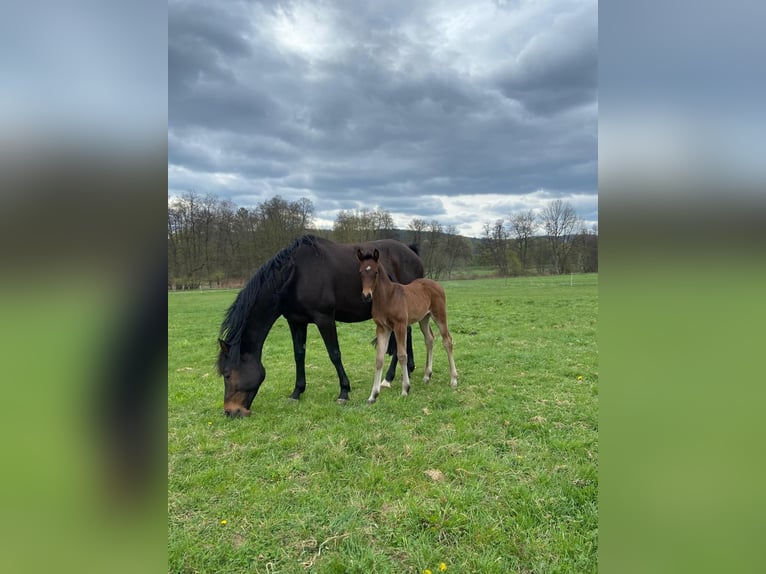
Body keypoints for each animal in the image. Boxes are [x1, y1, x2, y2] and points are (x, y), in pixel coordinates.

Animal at [217, 235, 423, 416]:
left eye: (227, 375)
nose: (230, 411)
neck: (296, 275)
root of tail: (411, 251)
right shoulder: (296, 322)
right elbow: (299, 355)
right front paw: (296, 392)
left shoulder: (324, 319)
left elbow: (334, 354)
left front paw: (344, 392)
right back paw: (406, 369)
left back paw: (388, 378)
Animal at [357, 248, 458, 404]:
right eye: (361, 272)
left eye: (376, 272)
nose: (366, 296)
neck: (387, 297)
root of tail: (436, 284)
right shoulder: (382, 328)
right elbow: (379, 359)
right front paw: (373, 395)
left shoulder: (400, 326)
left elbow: (402, 355)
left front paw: (405, 389)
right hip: (424, 318)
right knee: (429, 339)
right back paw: (427, 376)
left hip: (439, 315)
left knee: (447, 341)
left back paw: (453, 379)